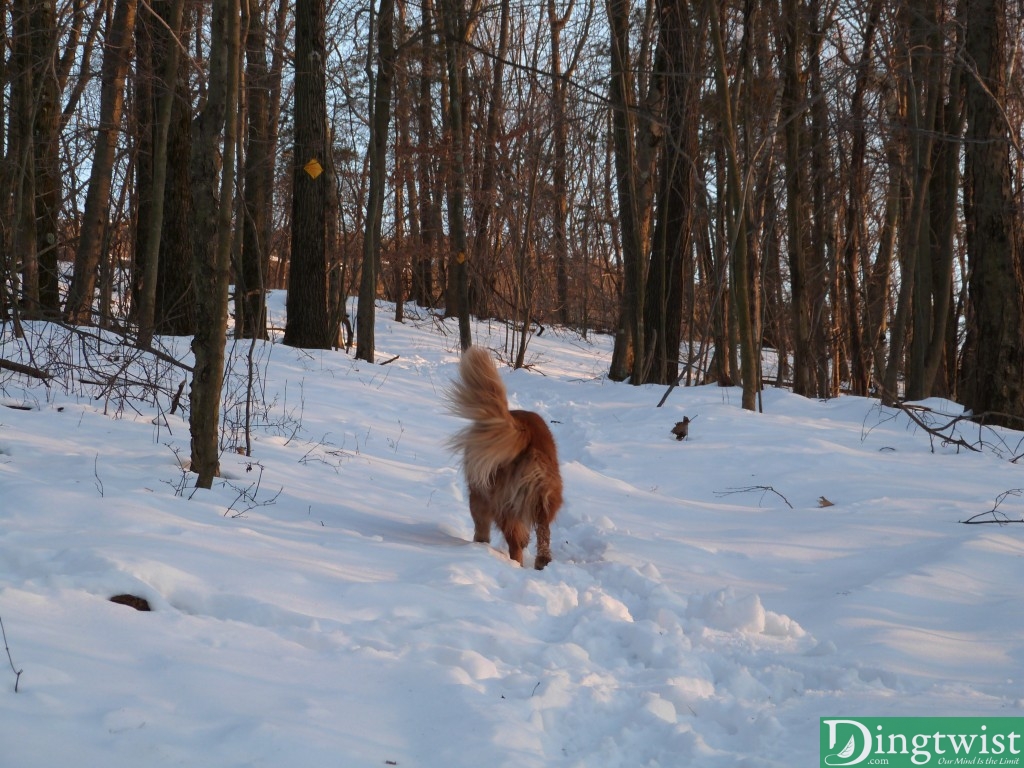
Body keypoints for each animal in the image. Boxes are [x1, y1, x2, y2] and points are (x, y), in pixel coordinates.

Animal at [446, 348, 565, 573]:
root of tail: (526, 432)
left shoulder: (478, 495)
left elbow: (482, 527)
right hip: (545, 495)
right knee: (543, 531)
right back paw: (542, 561)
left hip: (498, 501)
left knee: (514, 542)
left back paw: (513, 563)